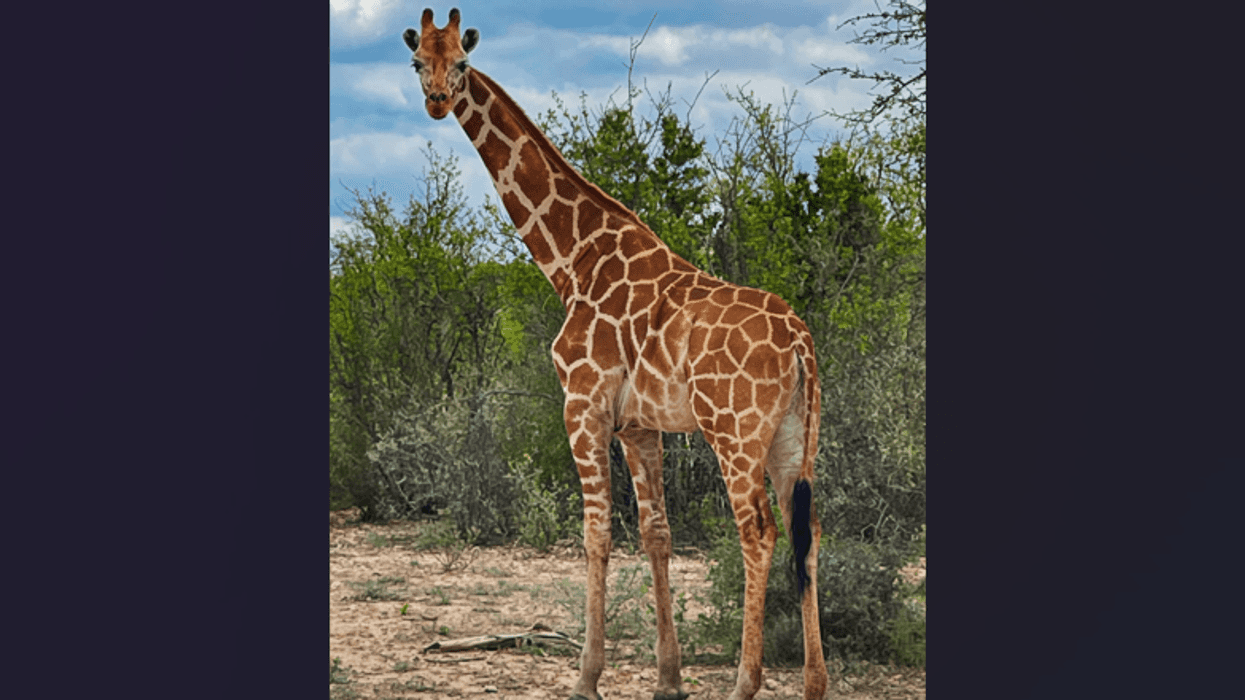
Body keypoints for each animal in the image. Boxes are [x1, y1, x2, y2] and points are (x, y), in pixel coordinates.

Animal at [403, 9, 829, 700]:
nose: (438, 101)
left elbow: (596, 532)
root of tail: (800, 343)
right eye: (419, 62)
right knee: (806, 529)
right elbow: (657, 534)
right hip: (796, 436)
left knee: (758, 532)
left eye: (461, 64)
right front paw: (668, 679)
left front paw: (586, 677)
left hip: (735, 433)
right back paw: (815, 682)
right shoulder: (639, 425)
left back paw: (745, 681)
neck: (572, 261)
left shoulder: (582, 404)